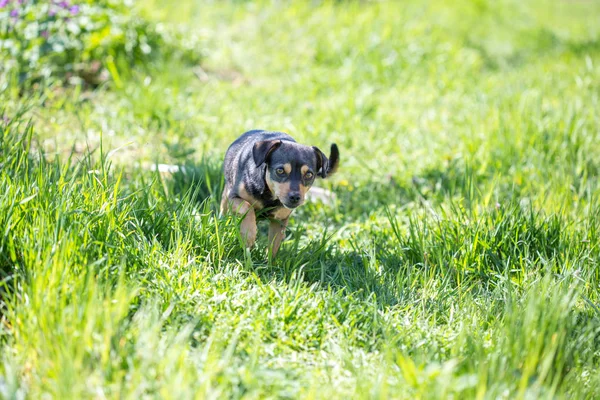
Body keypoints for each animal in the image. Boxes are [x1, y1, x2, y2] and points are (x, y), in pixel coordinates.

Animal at [220, 130, 340, 258]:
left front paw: (268, 262)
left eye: (309, 174)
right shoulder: (233, 197)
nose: (295, 197)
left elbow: (273, 246)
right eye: (280, 171)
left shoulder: (279, 221)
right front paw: (249, 234)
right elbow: (247, 207)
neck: (269, 195)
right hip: (226, 197)